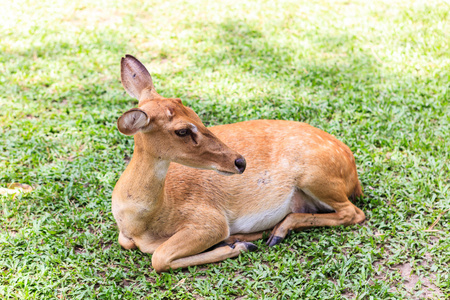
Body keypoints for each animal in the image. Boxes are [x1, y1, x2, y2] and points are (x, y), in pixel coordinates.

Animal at [111, 55, 366, 274]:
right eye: (182, 130)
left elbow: (159, 257)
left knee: (353, 213)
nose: (240, 162)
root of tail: (353, 175)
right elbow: (135, 246)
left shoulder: (210, 220)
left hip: (315, 175)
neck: (142, 223)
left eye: (194, 113)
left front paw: (241, 246)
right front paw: (238, 243)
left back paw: (273, 234)